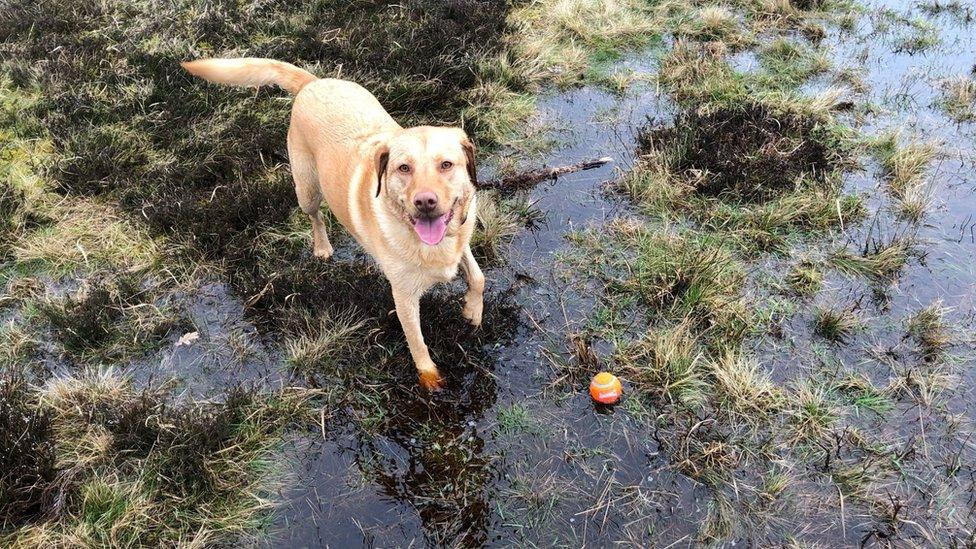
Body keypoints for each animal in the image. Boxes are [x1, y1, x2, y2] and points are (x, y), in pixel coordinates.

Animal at [180, 58, 484, 390]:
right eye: (404, 168)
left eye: (446, 165)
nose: (425, 202)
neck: (431, 243)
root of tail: (313, 83)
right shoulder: (404, 297)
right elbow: (417, 342)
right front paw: (430, 379)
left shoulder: (461, 241)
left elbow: (478, 277)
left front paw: (472, 311)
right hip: (307, 190)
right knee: (315, 217)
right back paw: (322, 246)